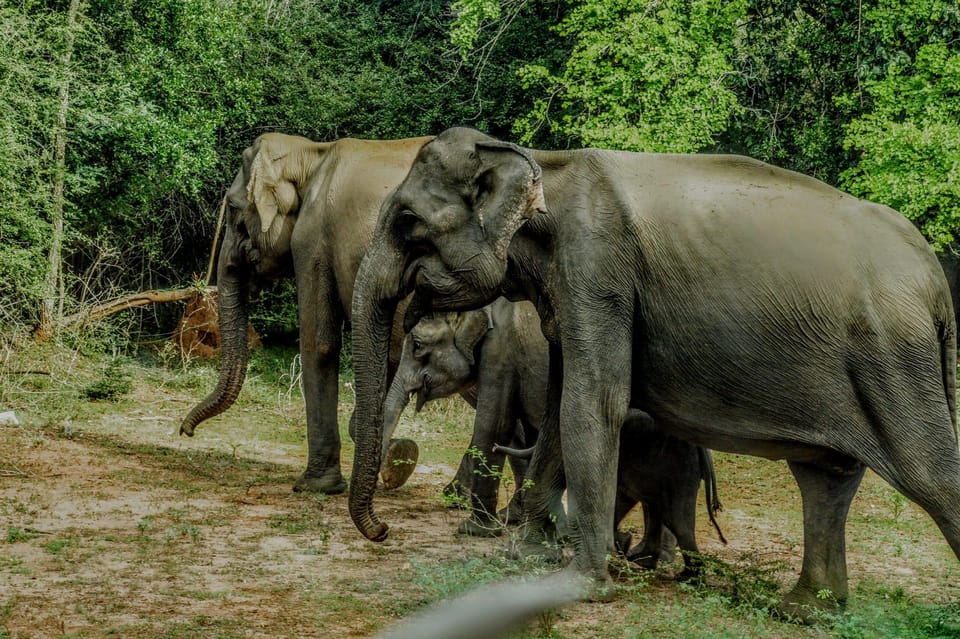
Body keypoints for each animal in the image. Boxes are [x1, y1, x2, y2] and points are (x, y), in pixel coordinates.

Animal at [179, 132, 432, 496]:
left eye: (233, 208)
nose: (185, 431)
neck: (312, 153)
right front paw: (398, 459)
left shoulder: (312, 239)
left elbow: (320, 343)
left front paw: (316, 486)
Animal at [346, 127, 960, 624]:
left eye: (406, 222)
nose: (383, 530)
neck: (543, 163)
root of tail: (935, 279)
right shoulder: (569, 295)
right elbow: (560, 408)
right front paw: (525, 556)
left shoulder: (597, 272)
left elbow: (591, 404)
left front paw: (577, 583)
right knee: (825, 478)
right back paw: (803, 611)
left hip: (892, 359)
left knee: (929, 476)